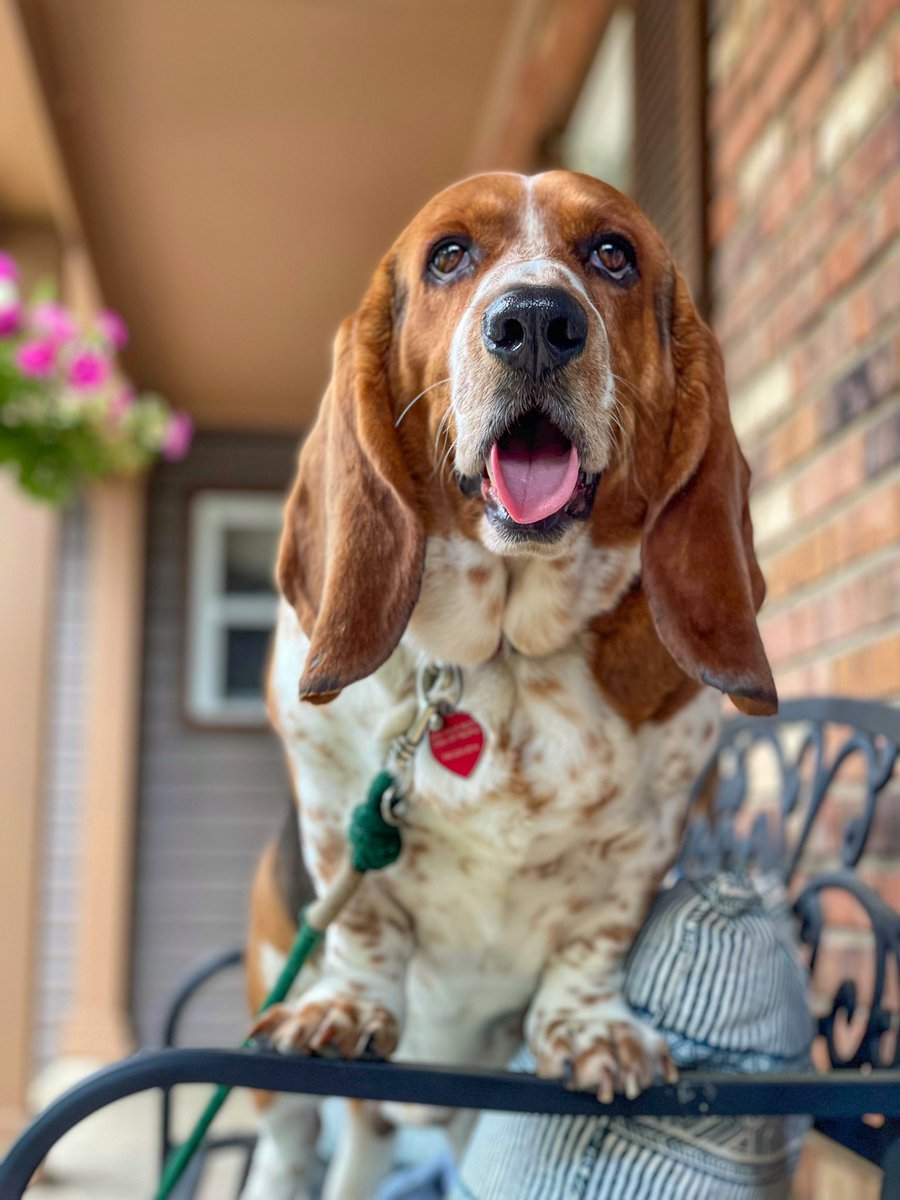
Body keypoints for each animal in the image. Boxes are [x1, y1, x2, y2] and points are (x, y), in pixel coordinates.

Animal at [243, 171, 777, 1200]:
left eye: (613, 255)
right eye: (449, 256)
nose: (535, 321)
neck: (504, 654)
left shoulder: (648, 839)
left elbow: (597, 938)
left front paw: (592, 1031)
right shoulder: (332, 804)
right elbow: (363, 919)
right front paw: (346, 1009)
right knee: (292, 1149)